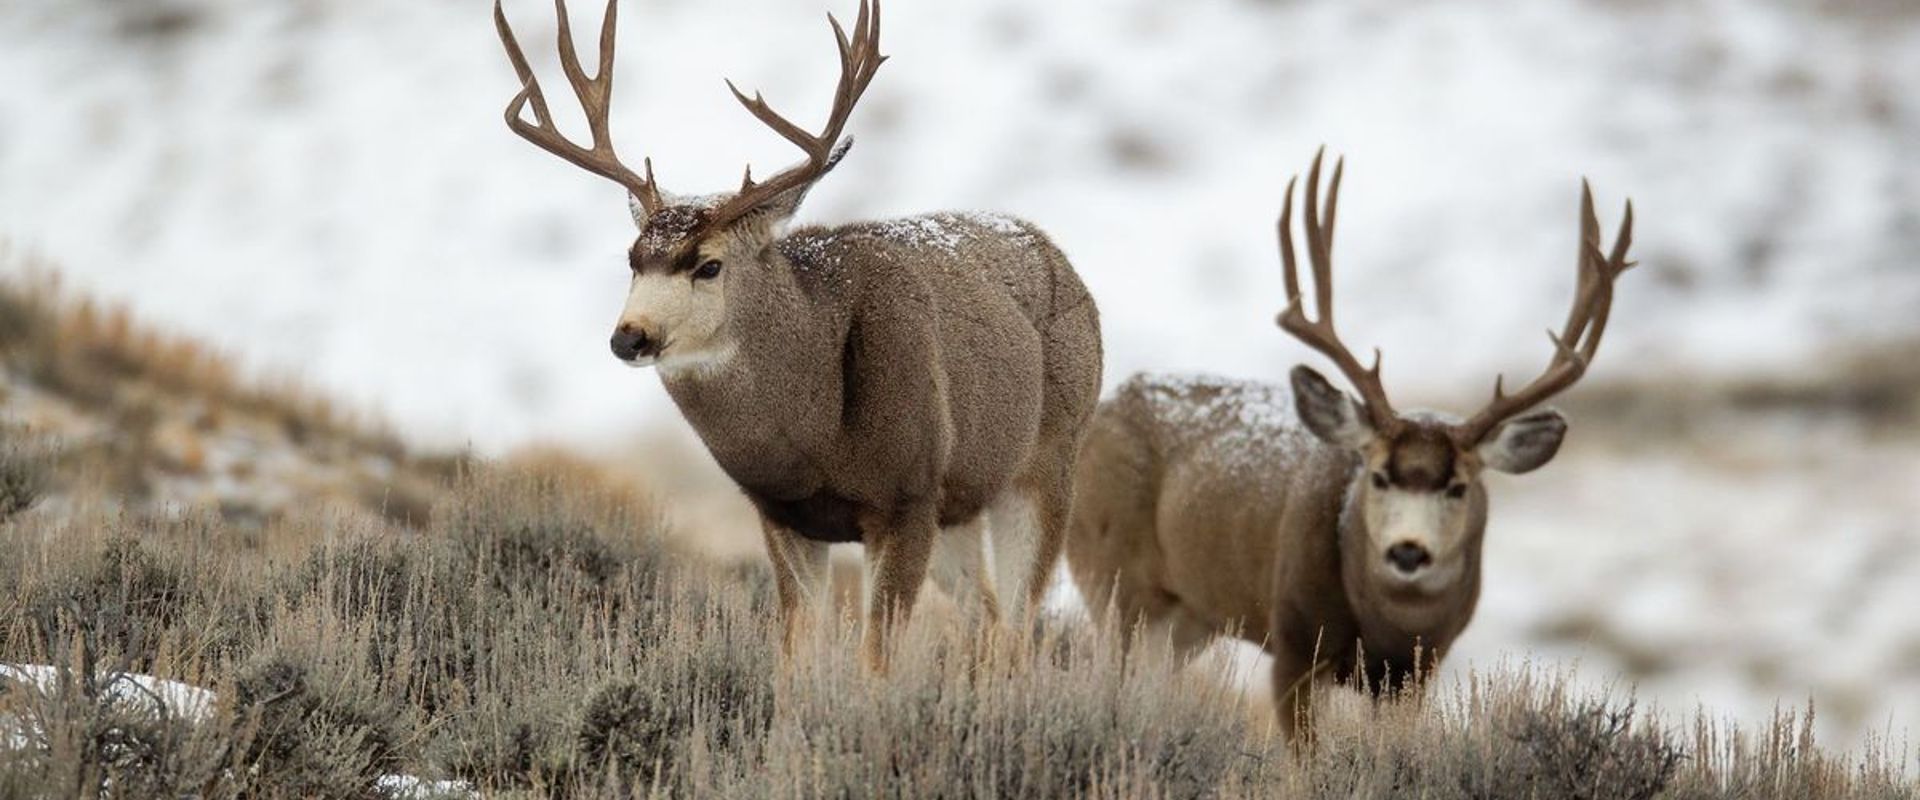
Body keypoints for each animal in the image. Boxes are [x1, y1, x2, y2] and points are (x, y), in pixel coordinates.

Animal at [493, 0, 1102, 671]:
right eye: (632, 258)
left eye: (709, 265)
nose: (630, 337)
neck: (816, 435)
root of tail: (1053, 250)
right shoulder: (783, 514)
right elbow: (796, 654)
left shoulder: (908, 496)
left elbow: (875, 661)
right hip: (963, 505)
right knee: (987, 619)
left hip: (1048, 462)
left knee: (1019, 625)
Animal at [1066, 149, 1634, 740]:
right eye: (1378, 475)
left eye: (1458, 486)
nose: (1407, 550)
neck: (1384, 629)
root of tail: (1103, 410)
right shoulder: (1293, 645)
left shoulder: (1414, 673)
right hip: (1113, 578)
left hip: (1189, 617)